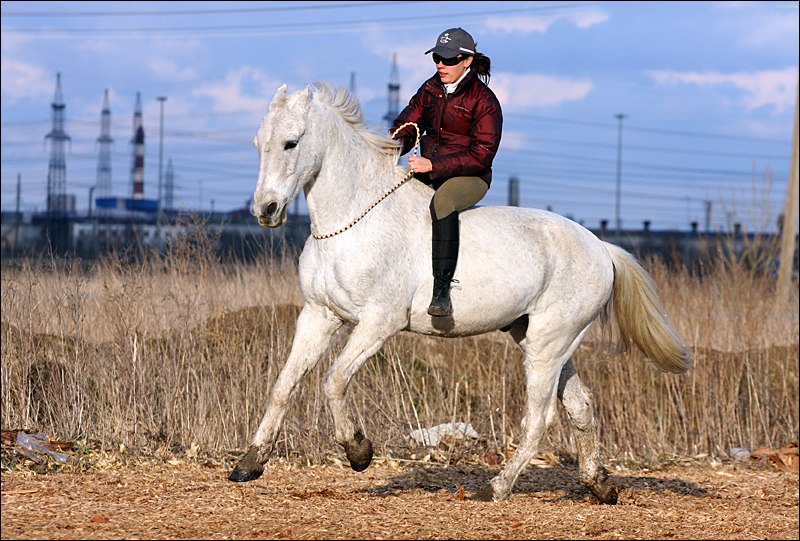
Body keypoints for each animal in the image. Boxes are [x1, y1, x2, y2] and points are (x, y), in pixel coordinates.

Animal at [229, 81, 692, 503]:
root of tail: (601, 248)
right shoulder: (319, 316)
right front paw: (250, 464)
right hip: (545, 340)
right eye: (257, 143)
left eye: (291, 143)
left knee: (539, 418)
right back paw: (600, 486)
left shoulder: (378, 322)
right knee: (580, 406)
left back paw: (497, 487)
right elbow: (284, 385)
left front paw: (358, 452)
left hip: (548, 344)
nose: (265, 211)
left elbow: (333, 380)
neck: (351, 220)